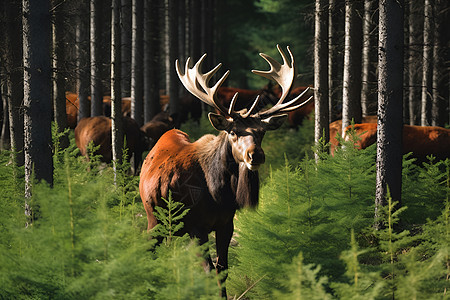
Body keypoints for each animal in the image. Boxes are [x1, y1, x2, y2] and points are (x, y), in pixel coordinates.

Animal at [139, 45, 312, 296]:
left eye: (262, 132)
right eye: (233, 132)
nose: (255, 155)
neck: (217, 193)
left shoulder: (226, 223)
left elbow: (223, 270)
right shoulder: (197, 226)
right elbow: (210, 271)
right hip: (154, 218)